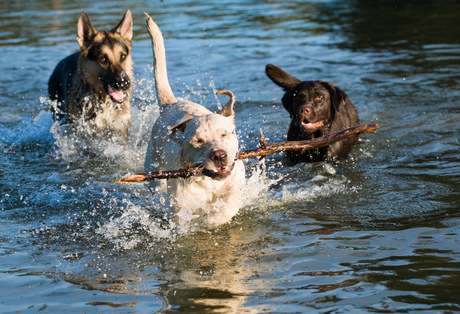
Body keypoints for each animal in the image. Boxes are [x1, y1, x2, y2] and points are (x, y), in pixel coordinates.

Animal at [145, 14, 246, 227]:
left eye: (225, 134)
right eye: (198, 141)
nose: (219, 155)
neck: (210, 183)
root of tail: (171, 103)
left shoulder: (236, 183)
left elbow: (229, 203)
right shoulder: (179, 206)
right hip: (153, 170)